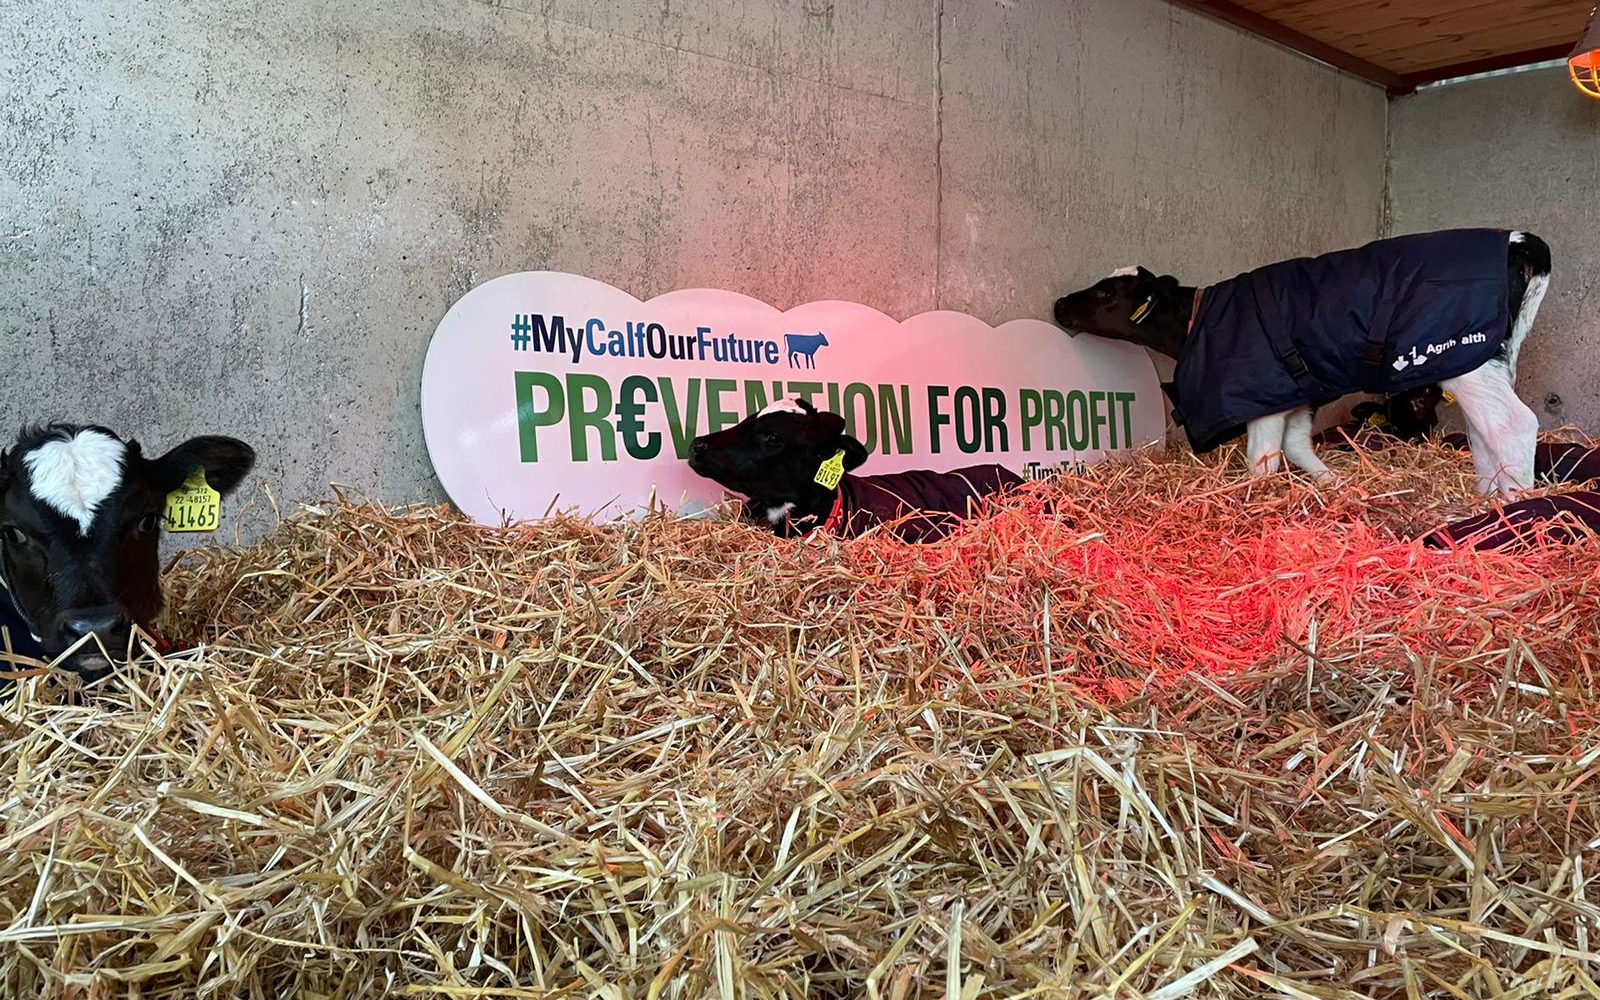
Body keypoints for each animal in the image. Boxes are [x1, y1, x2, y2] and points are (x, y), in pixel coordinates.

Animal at [1049, 224, 1548, 492]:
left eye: (1107, 294)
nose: (1059, 304)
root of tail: (1514, 240)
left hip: (1465, 358)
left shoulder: (1263, 393)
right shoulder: (1298, 392)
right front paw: (1329, 485)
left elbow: (1262, 458)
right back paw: (1486, 494)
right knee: (1485, 431)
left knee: (1513, 424)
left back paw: (1512, 507)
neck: (1201, 319)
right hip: (1483, 363)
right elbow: (1296, 445)